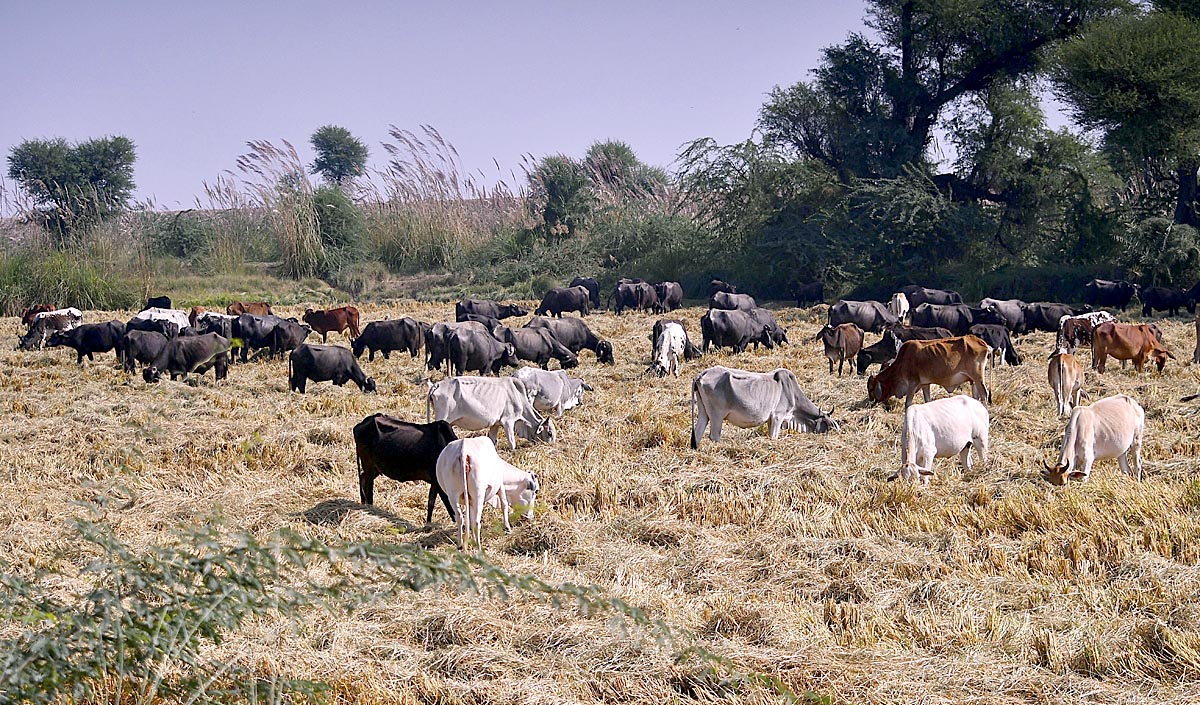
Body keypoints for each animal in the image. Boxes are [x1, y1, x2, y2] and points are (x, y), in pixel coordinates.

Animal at [426, 376, 556, 448]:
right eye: (549, 433)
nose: (551, 446)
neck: (519, 396)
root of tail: (436, 384)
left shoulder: (495, 424)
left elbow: (493, 441)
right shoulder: (508, 421)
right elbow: (512, 443)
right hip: (443, 418)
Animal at [690, 366, 837, 448]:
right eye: (830, 424)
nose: (838, 432)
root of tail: (701, 375)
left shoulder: (771, 419)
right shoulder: (778, 416)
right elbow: (774, 436)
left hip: (704, 413)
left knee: (697, 433)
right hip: (717, 416)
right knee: (714, 436)